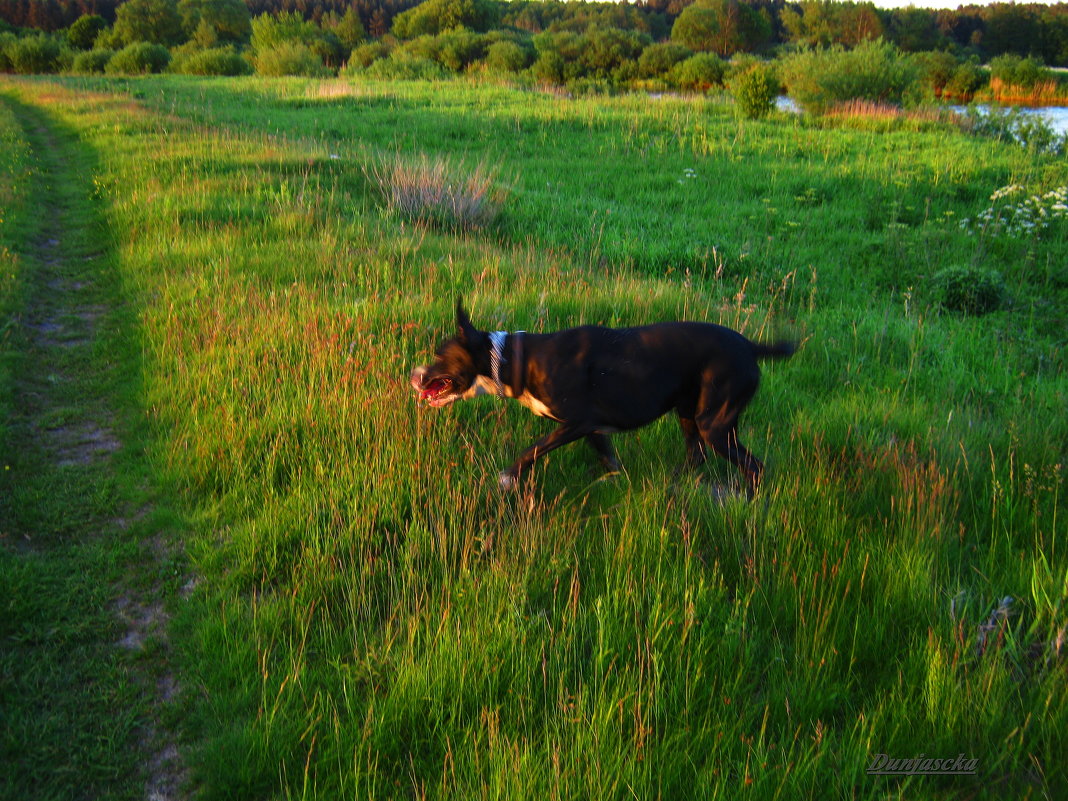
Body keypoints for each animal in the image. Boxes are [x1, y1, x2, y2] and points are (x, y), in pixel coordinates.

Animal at [412, 301, 798, 495]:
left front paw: (507, 479)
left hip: (714, 422)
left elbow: (532, 449)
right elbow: (608, 459)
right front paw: (618, 481)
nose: (414, 375)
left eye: (441, 356)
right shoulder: (594, 429)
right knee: (696, 455)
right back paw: (671, 485)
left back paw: (748, 502)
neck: (514, 358)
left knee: (753, 467)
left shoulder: (579, 422)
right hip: (689, 413)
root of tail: (750, 346)